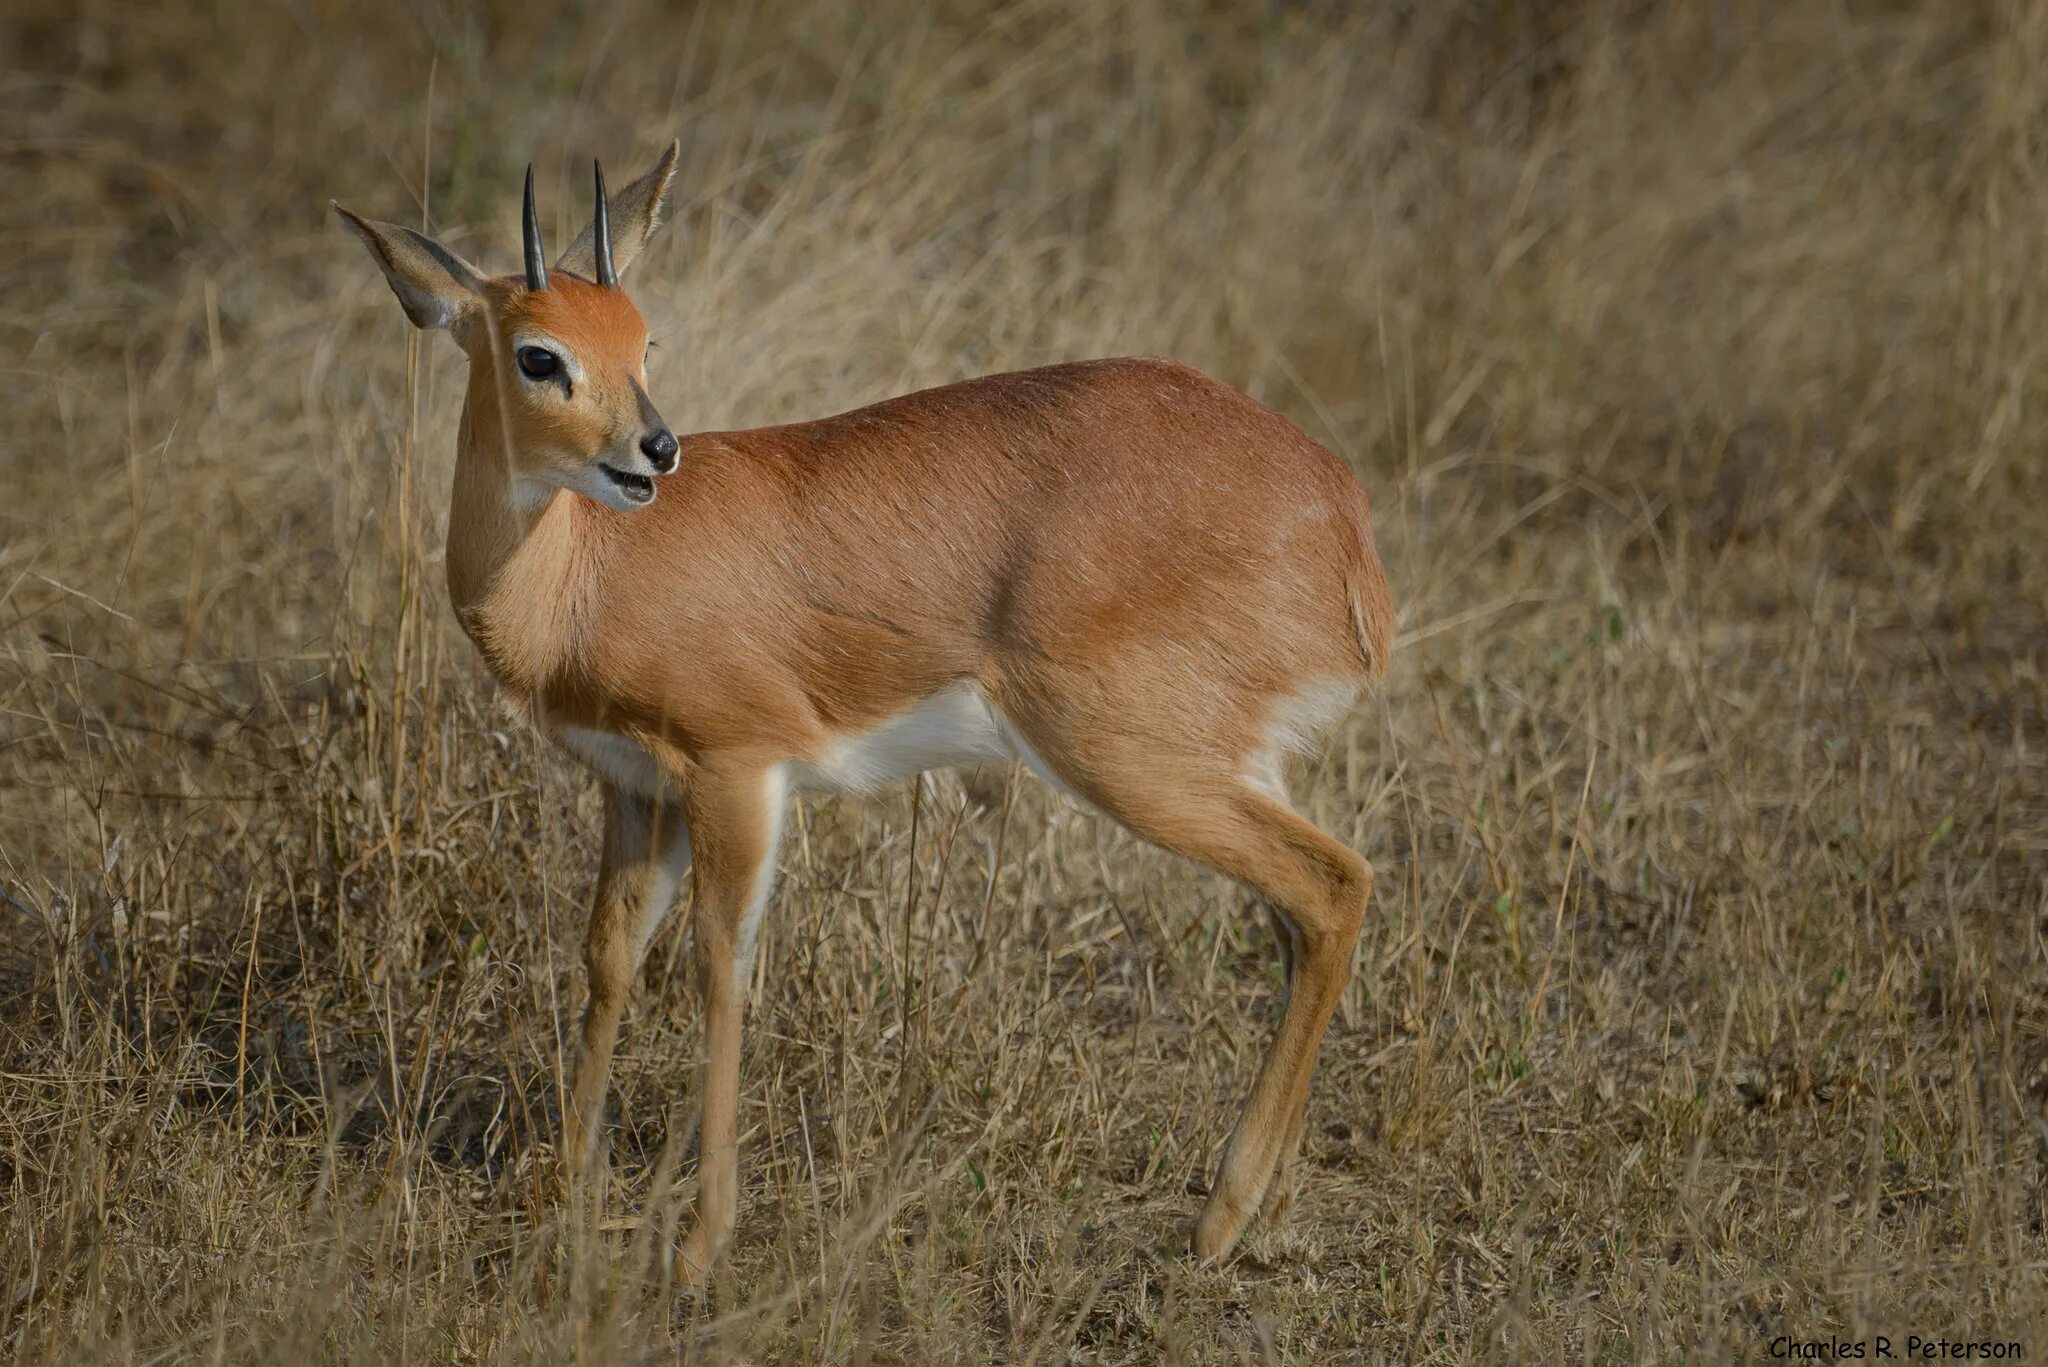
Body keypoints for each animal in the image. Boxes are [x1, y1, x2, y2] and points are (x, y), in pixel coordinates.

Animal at [335, 144, 1392, 1278]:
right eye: (541, 354)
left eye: (643, 338)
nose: (654, 449)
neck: (585, 576)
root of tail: (1342, 518)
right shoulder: (636, 789)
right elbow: (608, 958)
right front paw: (562, 1188)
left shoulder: (735, 771)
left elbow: (721, 966)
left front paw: (701, 1238)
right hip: (1222, 762)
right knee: (1296, 919)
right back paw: (1270, 1205)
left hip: (1126, 757)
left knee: (1334, 884)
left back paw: (1217, 1219)